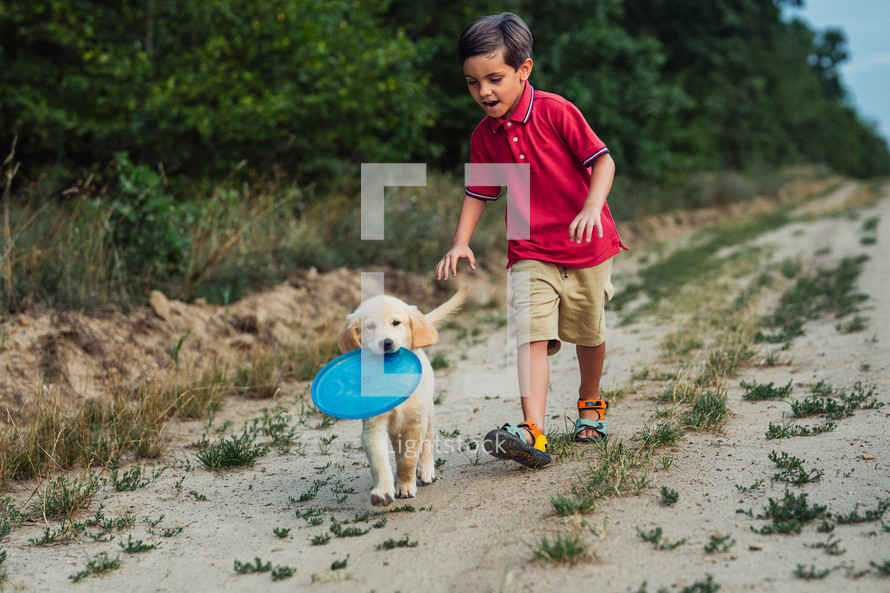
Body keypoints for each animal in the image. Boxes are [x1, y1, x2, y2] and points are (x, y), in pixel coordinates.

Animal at [338, 286, 468, 504]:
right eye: (370, 326)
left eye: (396, 323)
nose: (386, 343)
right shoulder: (373, 427)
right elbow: (380, 463)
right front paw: (383, 491)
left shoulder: (415, 422)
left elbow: (409, 459)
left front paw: (406, 485)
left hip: (428, 413)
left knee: (428, 439)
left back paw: (426, 470)